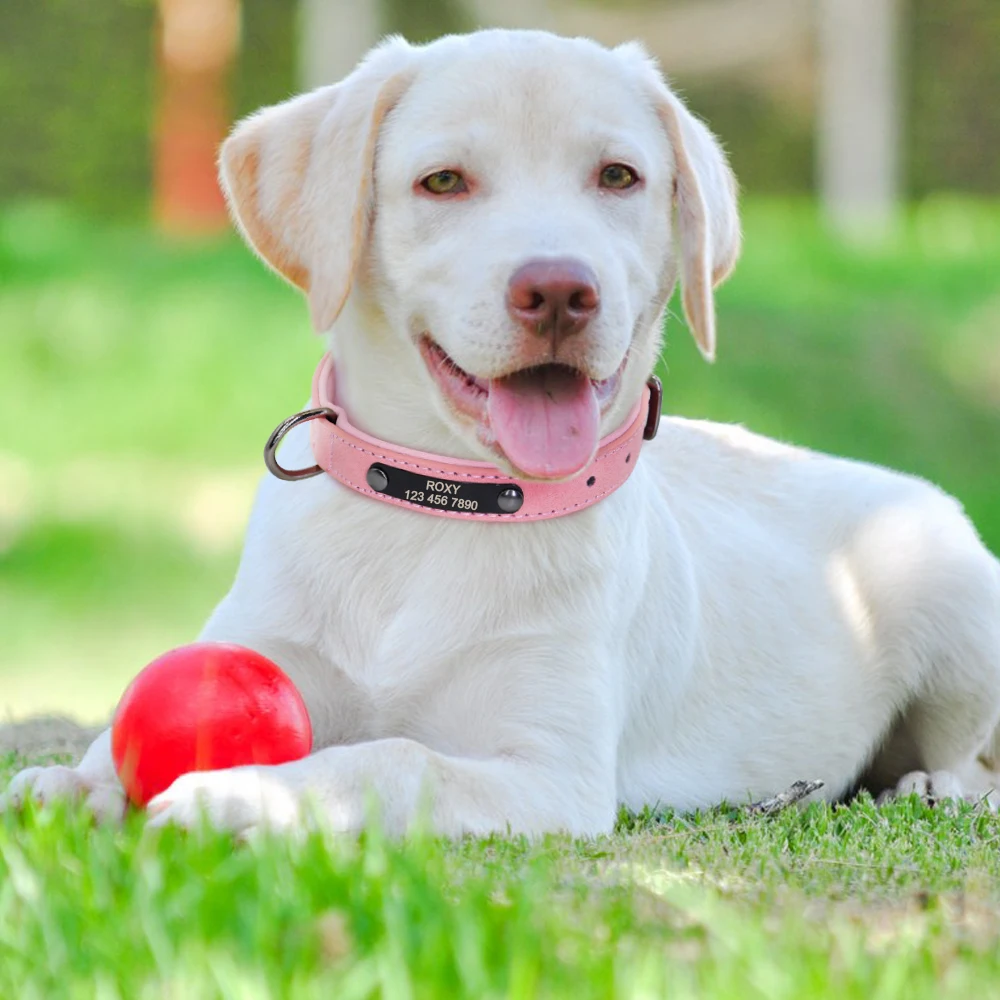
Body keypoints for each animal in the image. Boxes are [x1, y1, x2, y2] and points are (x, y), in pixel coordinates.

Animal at [3, 29, 996, 836]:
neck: (443, 505)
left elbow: (391, 760)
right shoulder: (270, 642)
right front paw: (75, 781)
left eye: (618, 177)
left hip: (953, 602)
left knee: (976, 759)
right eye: (443, 181)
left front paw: (247, 795)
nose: (559, 290)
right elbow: (116, 741)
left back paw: (932, 787)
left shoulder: (551, 776)